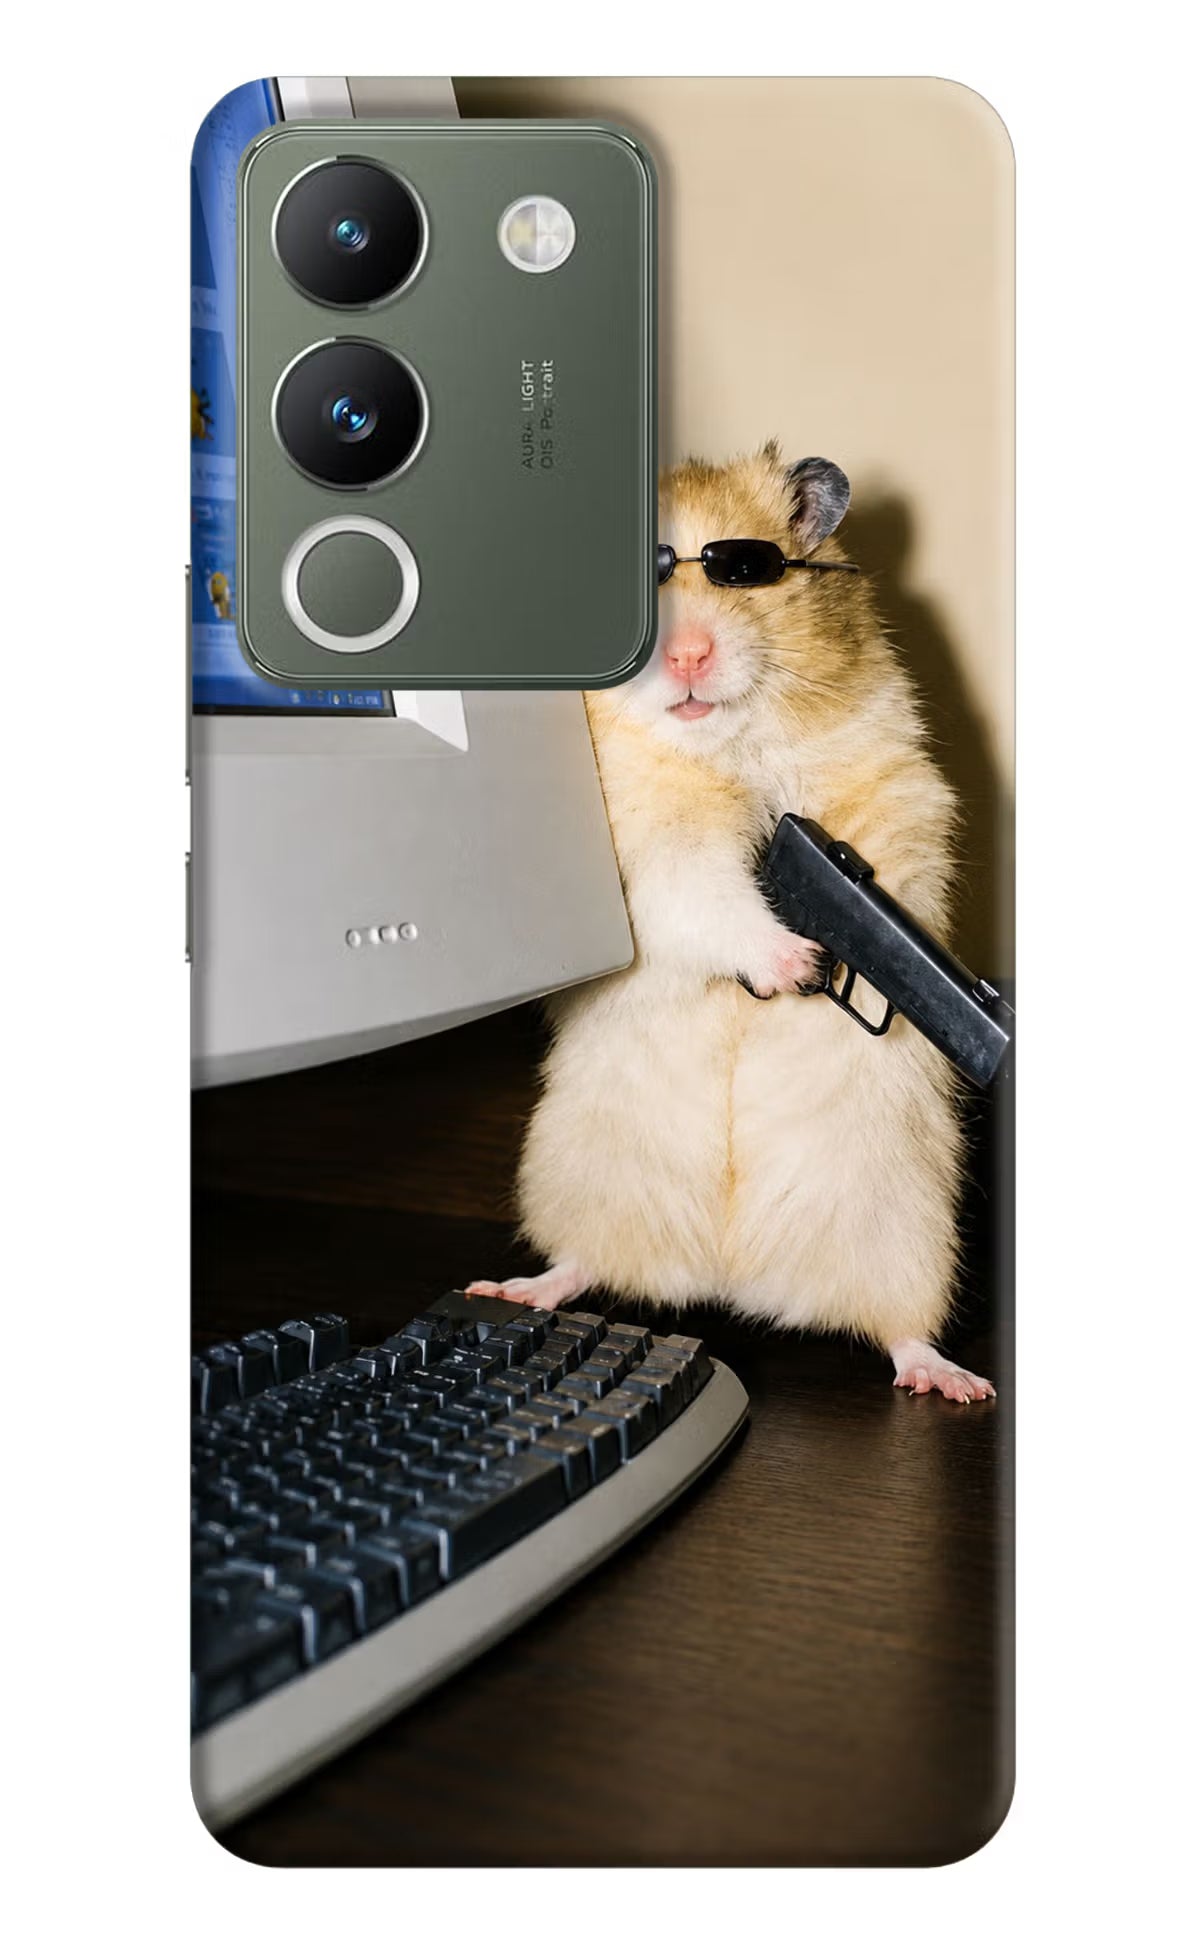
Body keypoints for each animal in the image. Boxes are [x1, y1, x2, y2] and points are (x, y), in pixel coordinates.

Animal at [469, 445, 993, 1402]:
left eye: (744, 571)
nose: (686, 655)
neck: (726, 745)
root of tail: (730, 1276)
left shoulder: (894, 788)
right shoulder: (651, 853)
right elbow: (708, 896)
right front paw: (797, 964)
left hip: (908, 1228)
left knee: (900, 1329)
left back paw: (954, 1381)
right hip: (579, 1175)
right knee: (582, 1262)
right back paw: (515, 1288)